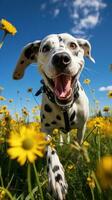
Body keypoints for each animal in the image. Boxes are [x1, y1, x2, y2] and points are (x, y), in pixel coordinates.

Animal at [12, 33, 94, 199]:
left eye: (73, 45)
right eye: (45, 48)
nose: (61, 58)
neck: (65, 107)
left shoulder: (82, 128)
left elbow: (79, 146)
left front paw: (78, 164)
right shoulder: (46, 130)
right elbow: (51, 151)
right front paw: (57, 178)